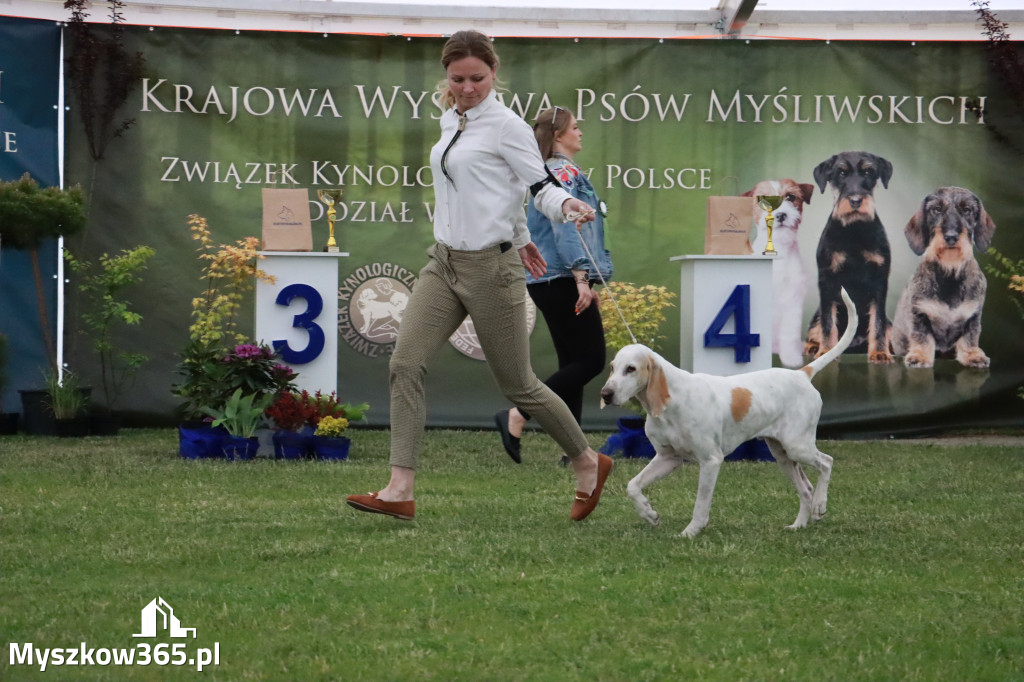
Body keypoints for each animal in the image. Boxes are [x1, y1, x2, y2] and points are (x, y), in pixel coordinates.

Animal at [598, 286, 856, 536]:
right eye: (612, 367)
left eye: (631, 369)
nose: (605, 394)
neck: (673, 402)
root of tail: (802, 373)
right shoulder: (667, 458)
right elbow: (633, 486)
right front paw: (649, 514)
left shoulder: (711, 460)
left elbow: (701, 504)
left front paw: (691, 531)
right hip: (783, 455)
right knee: (806, 489)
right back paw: (799, 525)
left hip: (797, 446)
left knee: (826, 463)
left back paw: (820, 505)